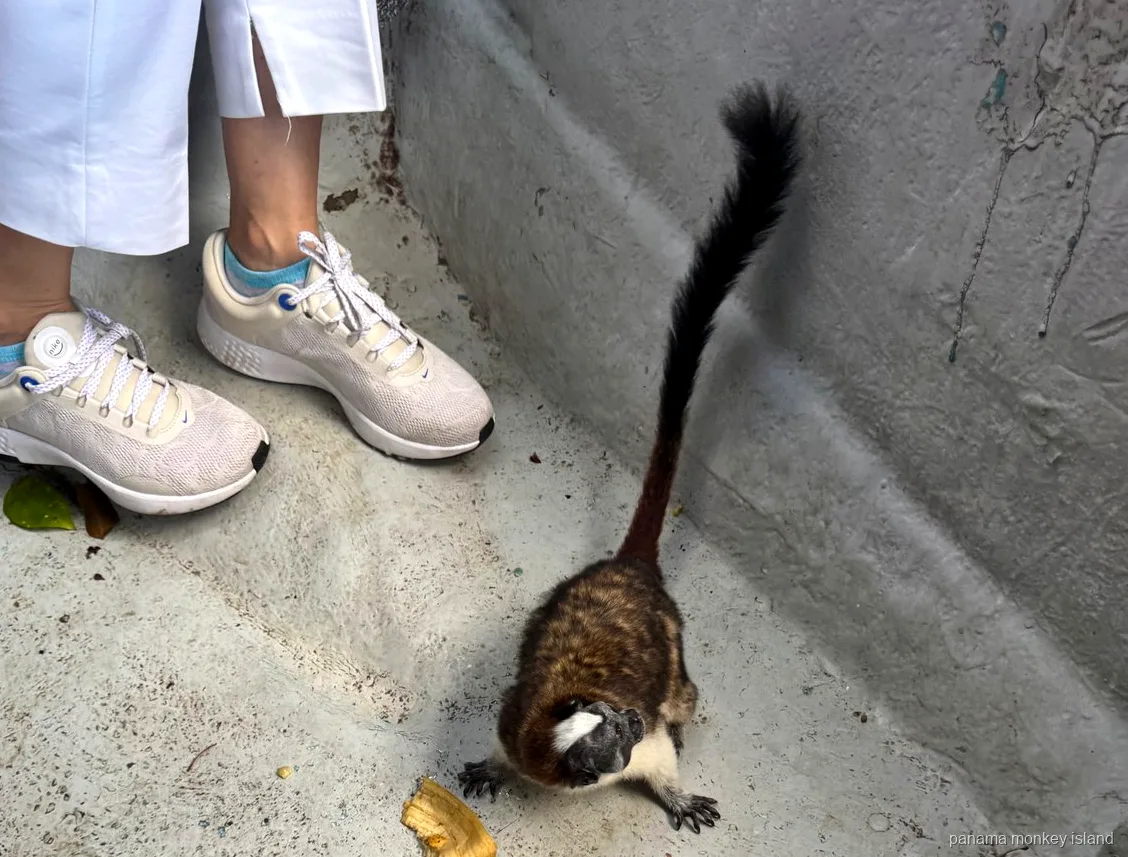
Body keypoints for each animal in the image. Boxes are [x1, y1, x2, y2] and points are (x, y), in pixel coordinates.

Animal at [457, 82, 801, 835]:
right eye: (605, 730)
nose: (631, 718)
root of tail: (629, 570)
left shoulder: (635, 739)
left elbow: (660, 760)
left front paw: (676, 793)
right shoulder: (517, 723)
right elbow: (505, 751)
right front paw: (491, 769)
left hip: (672, 644)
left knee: (685, 697)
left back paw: (681, 716)